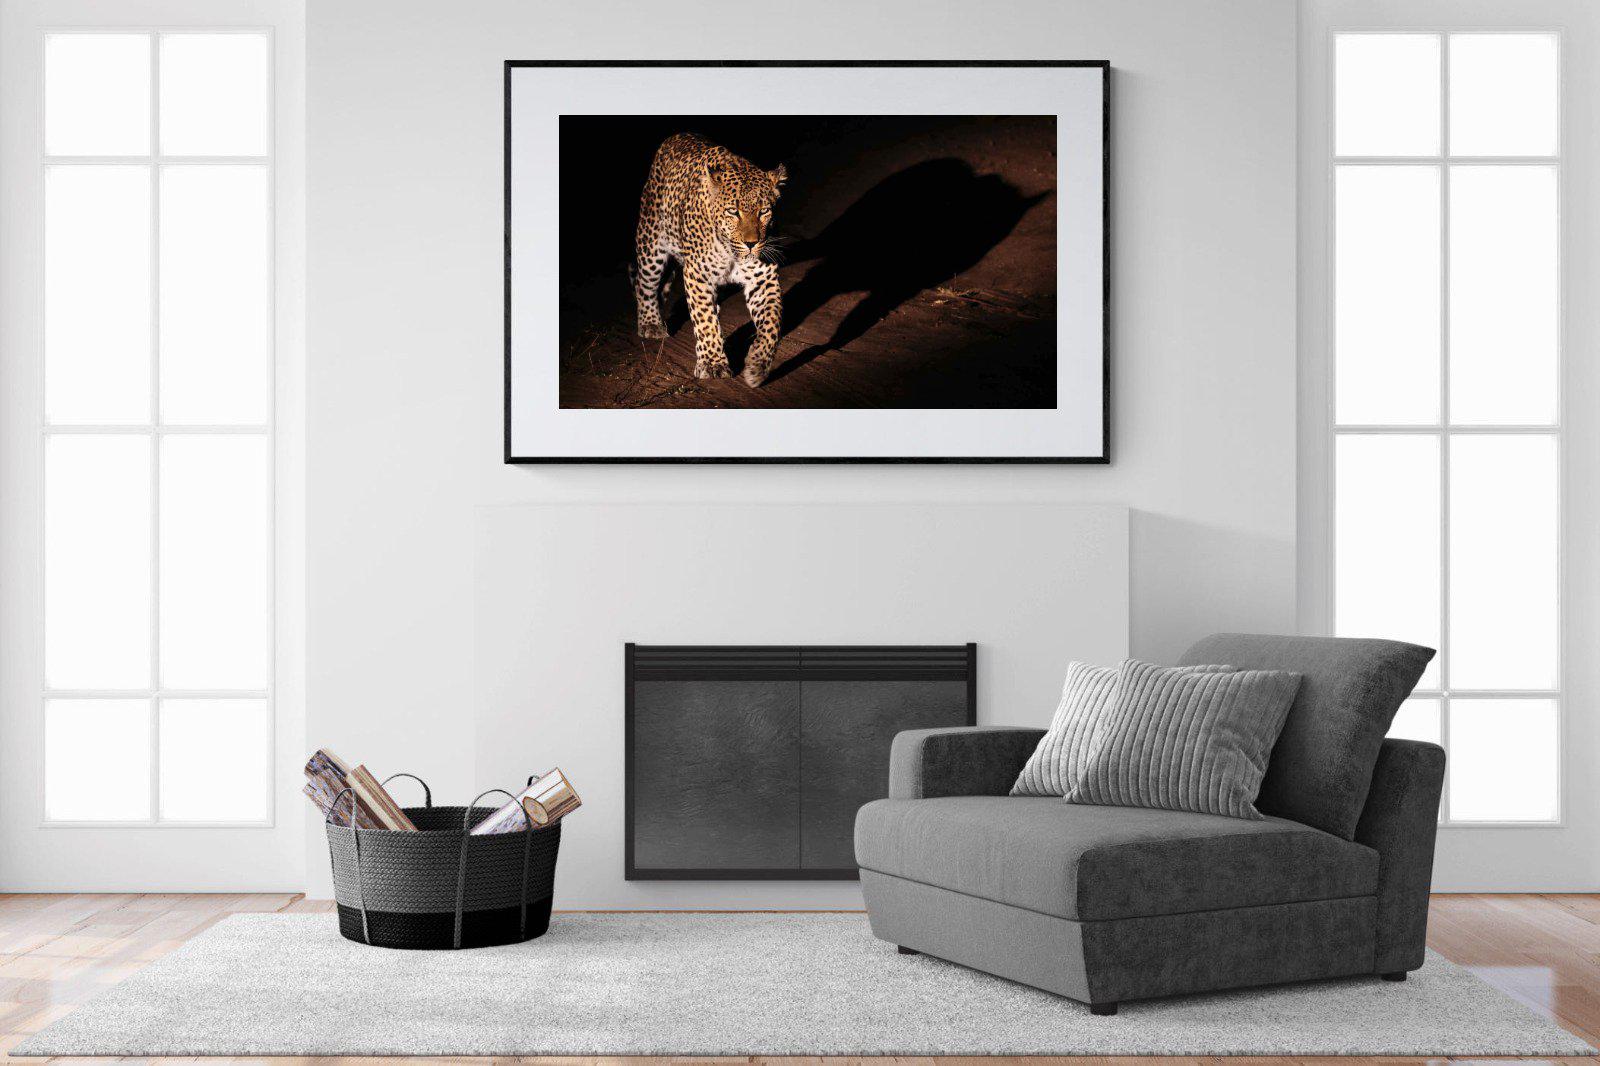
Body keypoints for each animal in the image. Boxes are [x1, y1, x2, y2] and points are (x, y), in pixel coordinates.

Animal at [633, 132, 787, 387]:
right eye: (733, 212)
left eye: (764, 211)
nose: (752, 243)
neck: (730, 250)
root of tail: (677, 136)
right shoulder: (698, 274)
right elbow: (704, 321)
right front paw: (713, 364)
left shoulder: (762, 278)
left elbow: (771, 323)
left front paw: (757, 364)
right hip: (651, 244)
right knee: (644, 285)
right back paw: (650, 324)